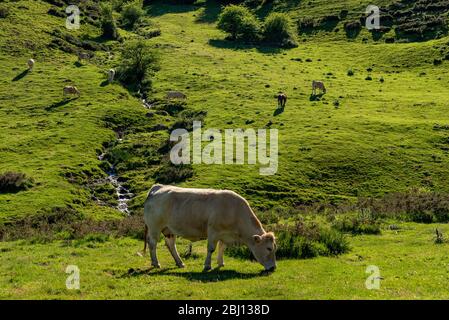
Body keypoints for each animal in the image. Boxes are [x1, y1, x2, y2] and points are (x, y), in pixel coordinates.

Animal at [144, 184, 276, 272]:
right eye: (269, 248)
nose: (273, 268)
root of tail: (158, 187)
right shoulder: (213, 231)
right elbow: (211, 249)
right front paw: (207, 265)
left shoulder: (225, 234)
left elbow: (222, 247)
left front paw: (221, 263)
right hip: (154, 227)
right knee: (153, 243)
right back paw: (156, 263)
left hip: (169, 229)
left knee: (171, 244)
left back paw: (180, 263)